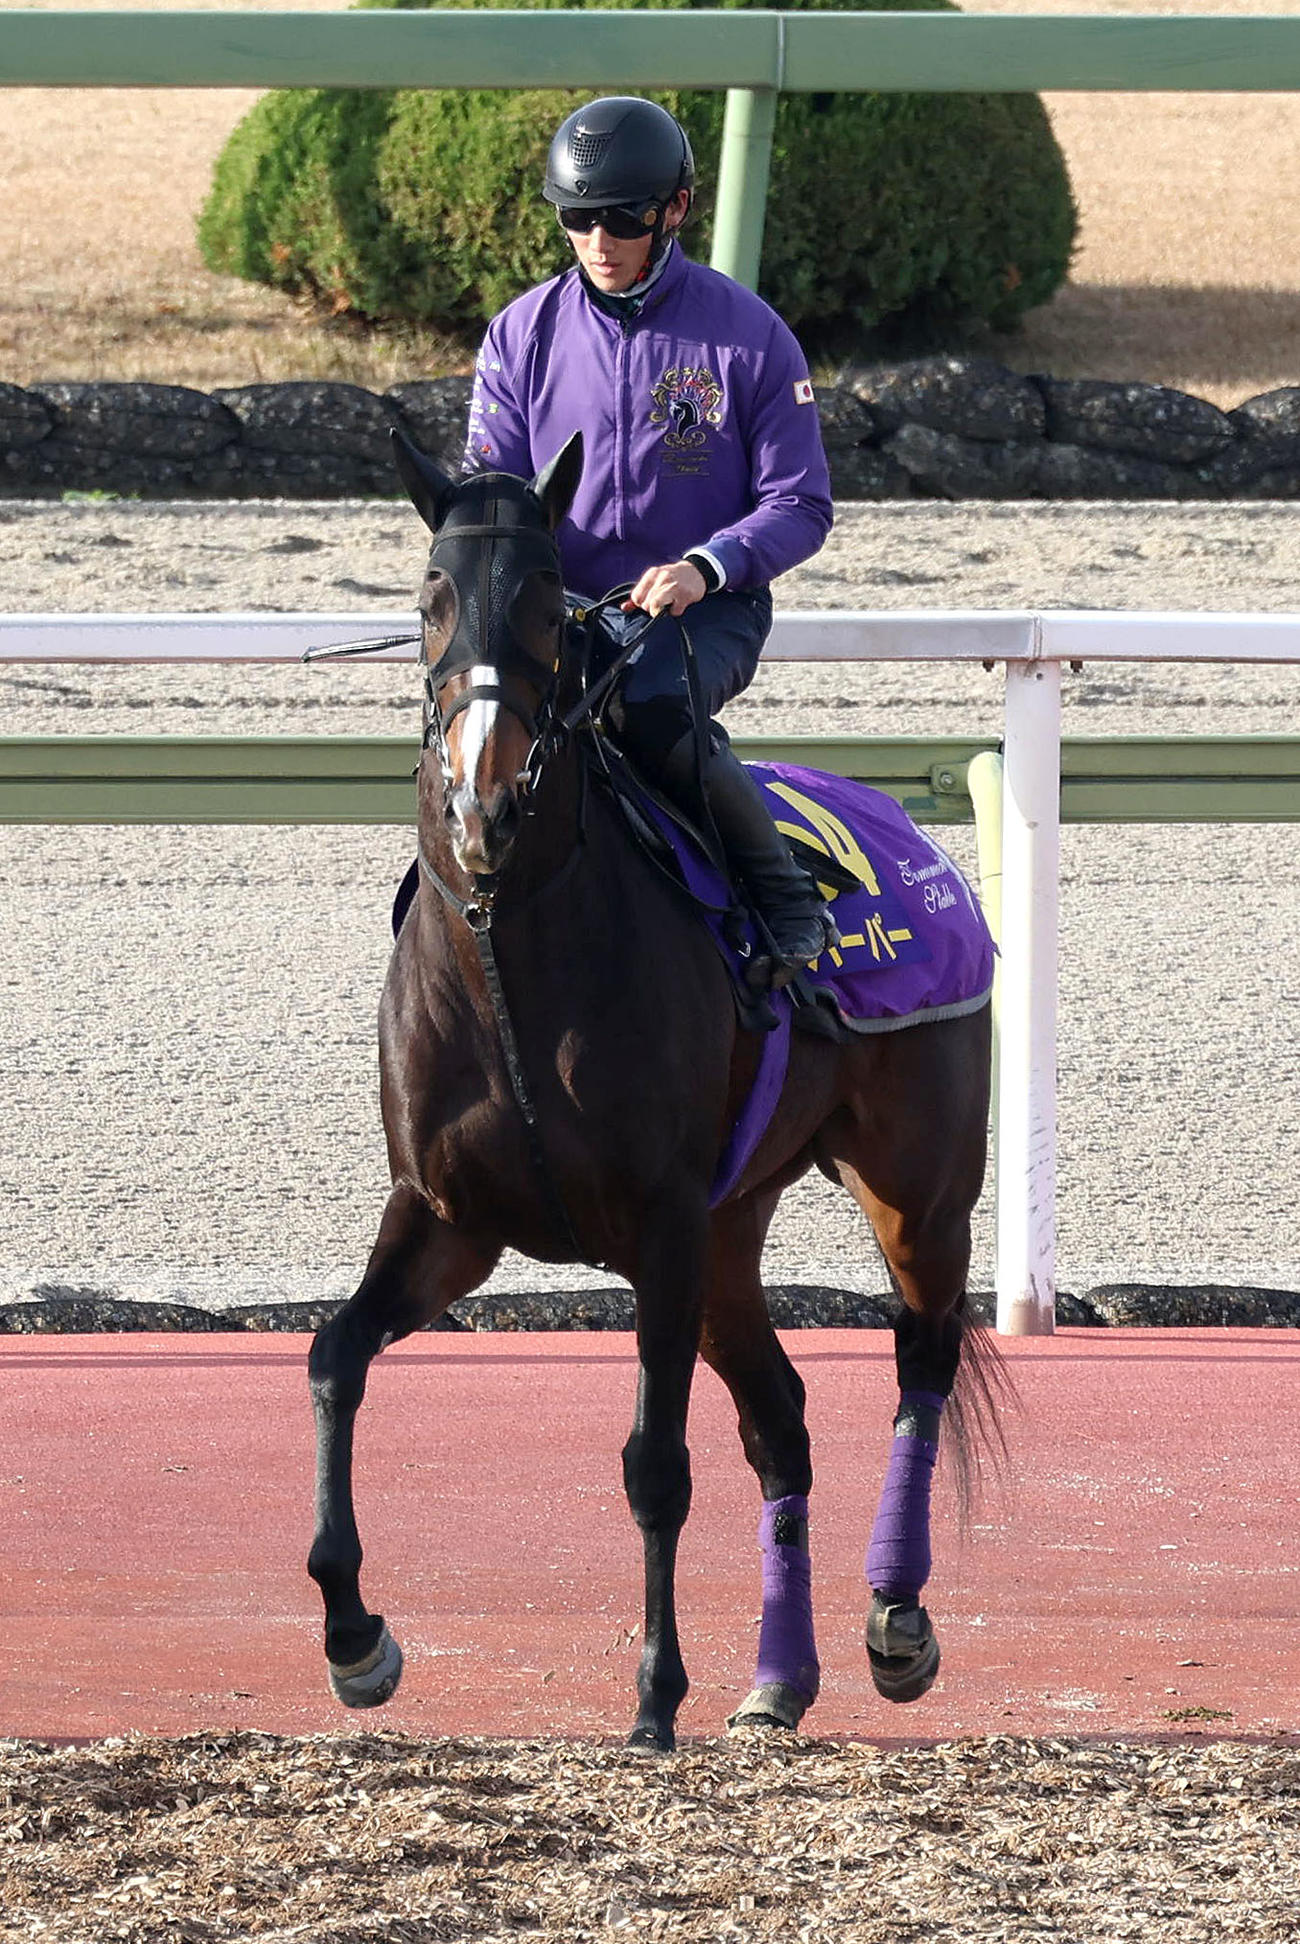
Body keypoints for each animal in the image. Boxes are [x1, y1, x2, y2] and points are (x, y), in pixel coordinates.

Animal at [307, 428, 1003, 1751]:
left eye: (546, 604)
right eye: (428, 600)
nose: (485, 798)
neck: (509, 938)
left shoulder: (664, 1222)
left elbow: (654, 1465)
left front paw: (652, 1692)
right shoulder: (445, 1217)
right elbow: (335, 1358)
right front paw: (356, 1637)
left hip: (915, 1189)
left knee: (924, 1358)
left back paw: (895, 1617)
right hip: (733, 1234)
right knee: (779, 1423)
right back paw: (779, 1681)